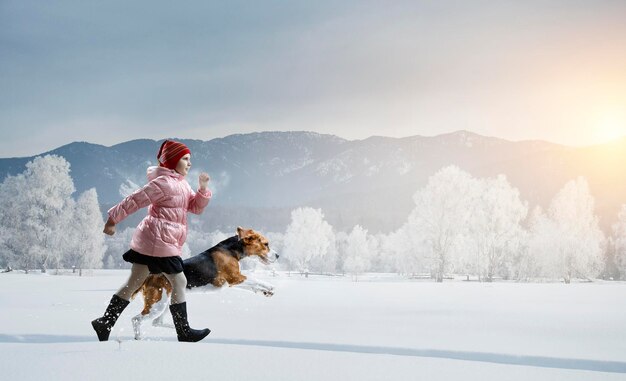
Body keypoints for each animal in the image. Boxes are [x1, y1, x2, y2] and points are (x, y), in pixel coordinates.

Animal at [130, 226, 276, 338]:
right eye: (266, 244)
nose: (278, 255)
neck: (231, 249)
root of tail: (150, 276)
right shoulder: (235, 277)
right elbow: (255, 279)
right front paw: (270, 286)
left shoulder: (233, 282)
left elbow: (252, 286)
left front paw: (265, 292)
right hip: (157, 304)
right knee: (136, 319)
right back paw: (138, 337)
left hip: (168, 301)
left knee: (157, 322)